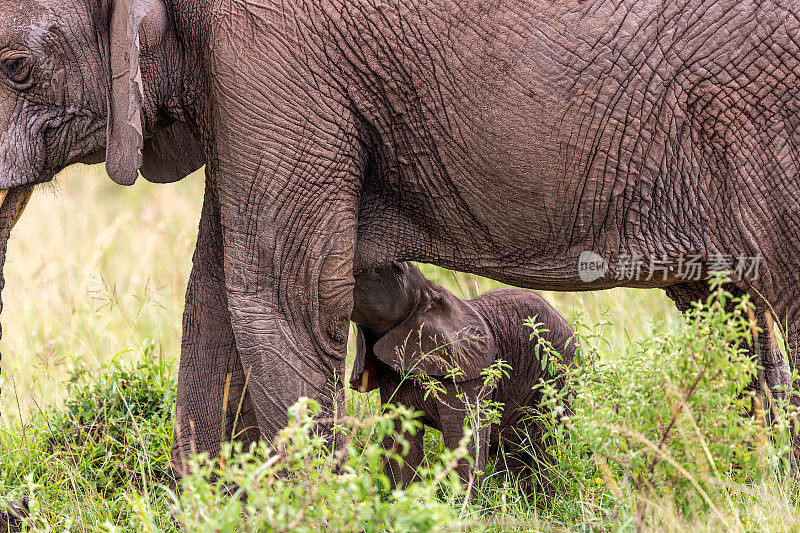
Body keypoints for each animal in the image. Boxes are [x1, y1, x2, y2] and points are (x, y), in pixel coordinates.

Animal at [350, 262, 576, 494]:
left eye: (394, 268)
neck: (428, 293)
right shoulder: (391, 371)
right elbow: (401, 439)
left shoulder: (467, 374)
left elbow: (464, 438)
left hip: (558, 376)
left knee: (549, 442)